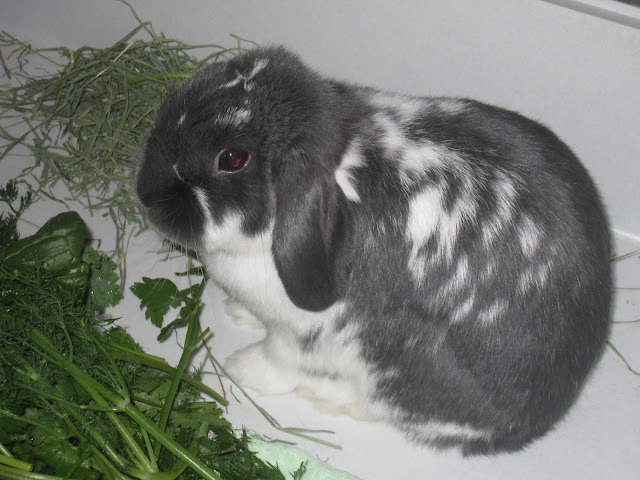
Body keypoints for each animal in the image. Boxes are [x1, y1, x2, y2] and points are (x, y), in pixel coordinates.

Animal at [133, 46, 612, 455]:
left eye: (231, 159)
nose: (145, 194)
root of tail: (531, 422)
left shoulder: (305, 334)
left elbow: (278, 359)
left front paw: (241, 368)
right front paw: (239, 313)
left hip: (395, 365)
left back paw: (327, 396)